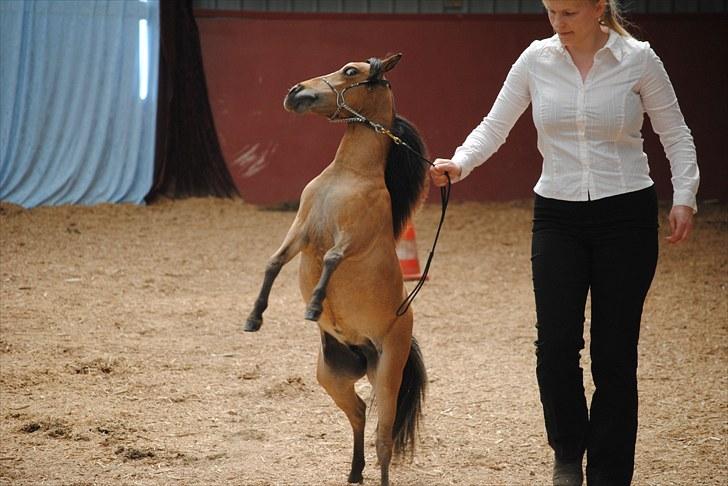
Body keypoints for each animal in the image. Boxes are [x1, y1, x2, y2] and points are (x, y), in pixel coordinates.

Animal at [242, 51, 430, 484]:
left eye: (350, 71)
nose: (295, 92)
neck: (349, 175)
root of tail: (363, 347)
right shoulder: (302, 229)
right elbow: (273, 262)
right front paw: (254, 317)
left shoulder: (350, 238)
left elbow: (330, 259)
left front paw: (313, 306)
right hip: (332, 377)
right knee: (359, 413)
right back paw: (354, 472)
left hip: (387, 375)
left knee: (383, 438)